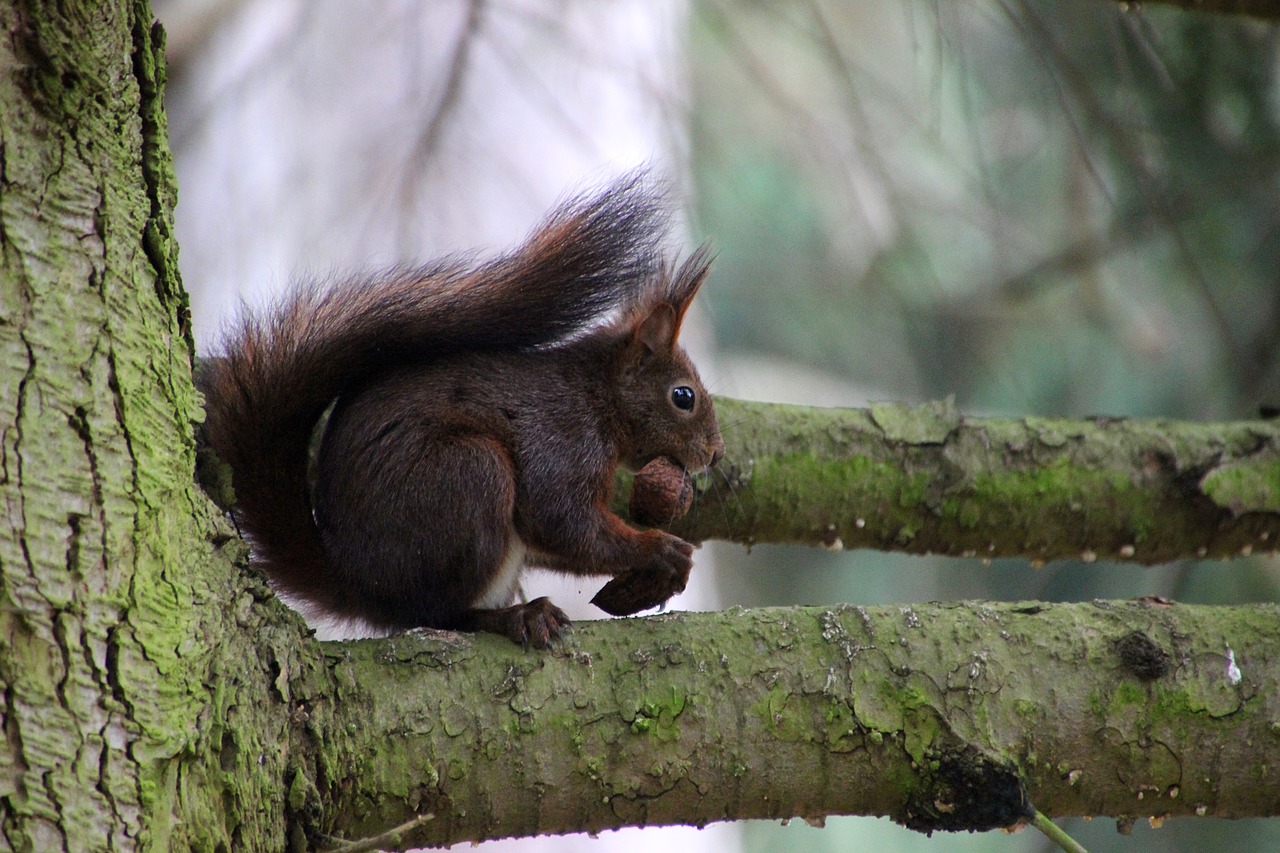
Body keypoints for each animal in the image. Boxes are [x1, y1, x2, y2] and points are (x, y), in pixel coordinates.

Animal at [197, 172, 721, 645]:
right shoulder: (562, 439)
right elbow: (561, 521)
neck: (598, 398)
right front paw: (658, 549)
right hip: (467, 477)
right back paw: (515, 617)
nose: (715, 454)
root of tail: (363, 587)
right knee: (439, 613)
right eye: (684, 397)